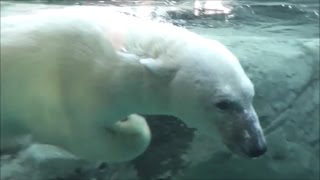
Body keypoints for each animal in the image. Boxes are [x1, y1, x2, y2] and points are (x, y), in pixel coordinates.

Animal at [1, 6, 266, 162]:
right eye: (223, 103)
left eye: (251, 95)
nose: (257, 146)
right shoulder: (60, 94)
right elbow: (87, 139)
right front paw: (133, 123)